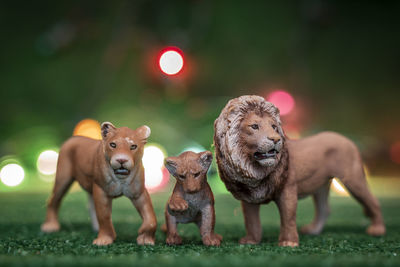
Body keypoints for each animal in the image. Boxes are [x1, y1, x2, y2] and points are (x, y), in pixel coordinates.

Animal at [214, 95, 386, 248]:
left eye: (274, 127)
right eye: (254, 126)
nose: (276, 139)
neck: (254, 169)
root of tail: (346, 139)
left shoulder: (288, 191)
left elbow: (288, 218)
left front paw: (288, 243)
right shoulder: (250, 197)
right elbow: (251, 221)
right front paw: (251, 241)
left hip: (353, 179)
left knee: (373, 201)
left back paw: (377, 230)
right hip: (321, 186)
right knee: (324, 209)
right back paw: (313, 230)